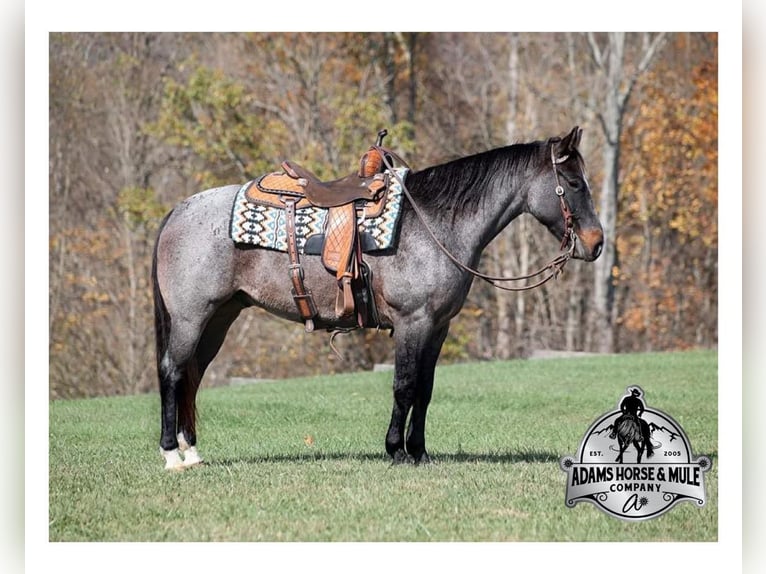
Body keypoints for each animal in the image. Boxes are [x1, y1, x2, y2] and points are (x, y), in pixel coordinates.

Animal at [152, 127, 608, 472]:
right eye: (573, 183)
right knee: (173, 372)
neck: (434, 223)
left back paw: (192, 451)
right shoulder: (412, 322)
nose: (596, 243)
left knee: (192, 375)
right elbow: (404, 386)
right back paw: (171, 455)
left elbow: (425, 388)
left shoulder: (437, 327)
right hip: (192, 318)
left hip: (219, 319)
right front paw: (396, 450)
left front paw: (419, 451)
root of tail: (178, 211)